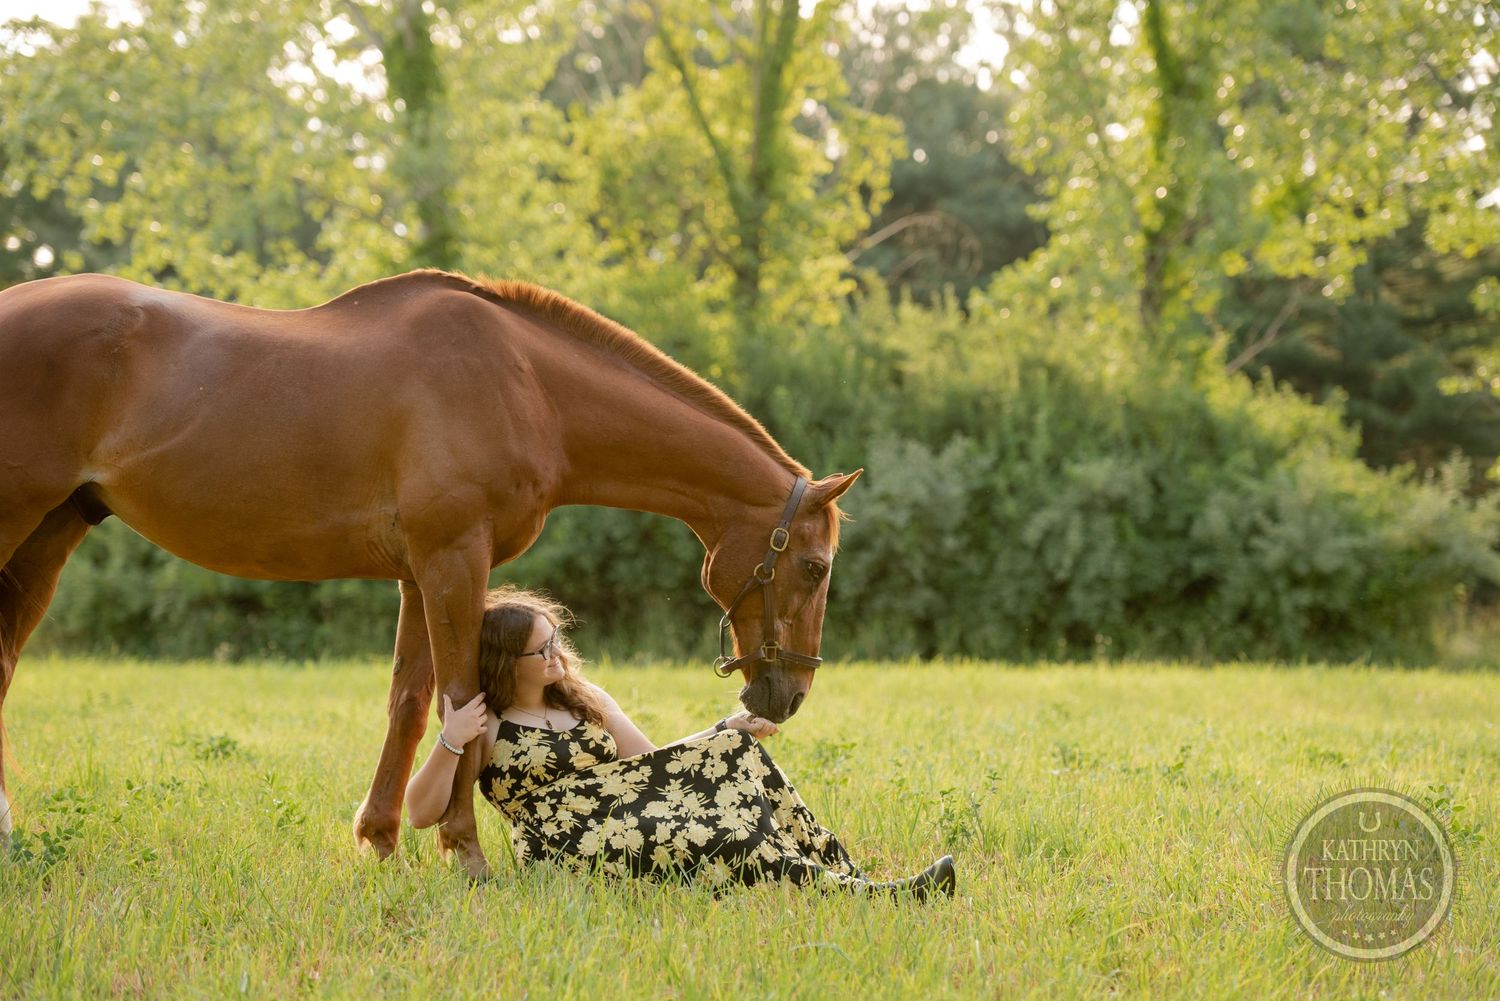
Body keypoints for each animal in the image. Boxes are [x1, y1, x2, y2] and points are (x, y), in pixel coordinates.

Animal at [0, 269, 860, 877]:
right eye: (814, 565)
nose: (786, 694)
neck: (525, 383)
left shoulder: (419, 572)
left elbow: (411, 702)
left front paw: (380, 838)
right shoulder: (454, 559)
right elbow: (463, 702)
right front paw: (464, 851)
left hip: (52, 530)